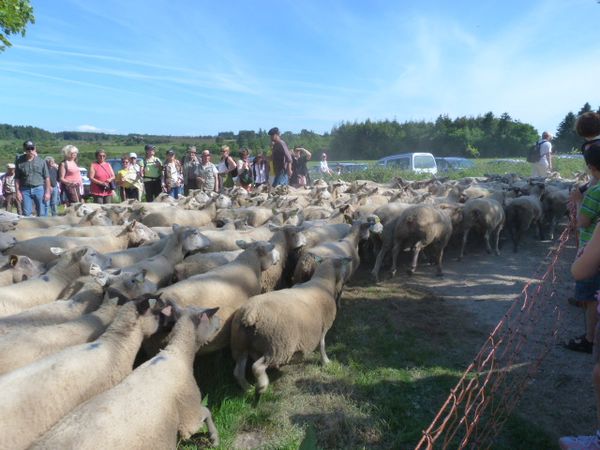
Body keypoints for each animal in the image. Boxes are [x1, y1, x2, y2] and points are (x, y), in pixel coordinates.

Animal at [31, 304, 223, 448]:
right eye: (210, 314)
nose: (221, 320)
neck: (177, 353)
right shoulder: (188, 412)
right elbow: (206, 412)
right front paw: (214, 438)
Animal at [230, 255, 352, 396]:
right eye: (343, 263)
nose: (346, 280)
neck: (323, 283)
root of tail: (251, 313)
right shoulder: (324, 326)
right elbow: (322, 345)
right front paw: (326, 361)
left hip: (240, 344)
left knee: (238, 372)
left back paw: (248, 388)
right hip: (277, 346)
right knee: (257, 367)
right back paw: (262, 386)